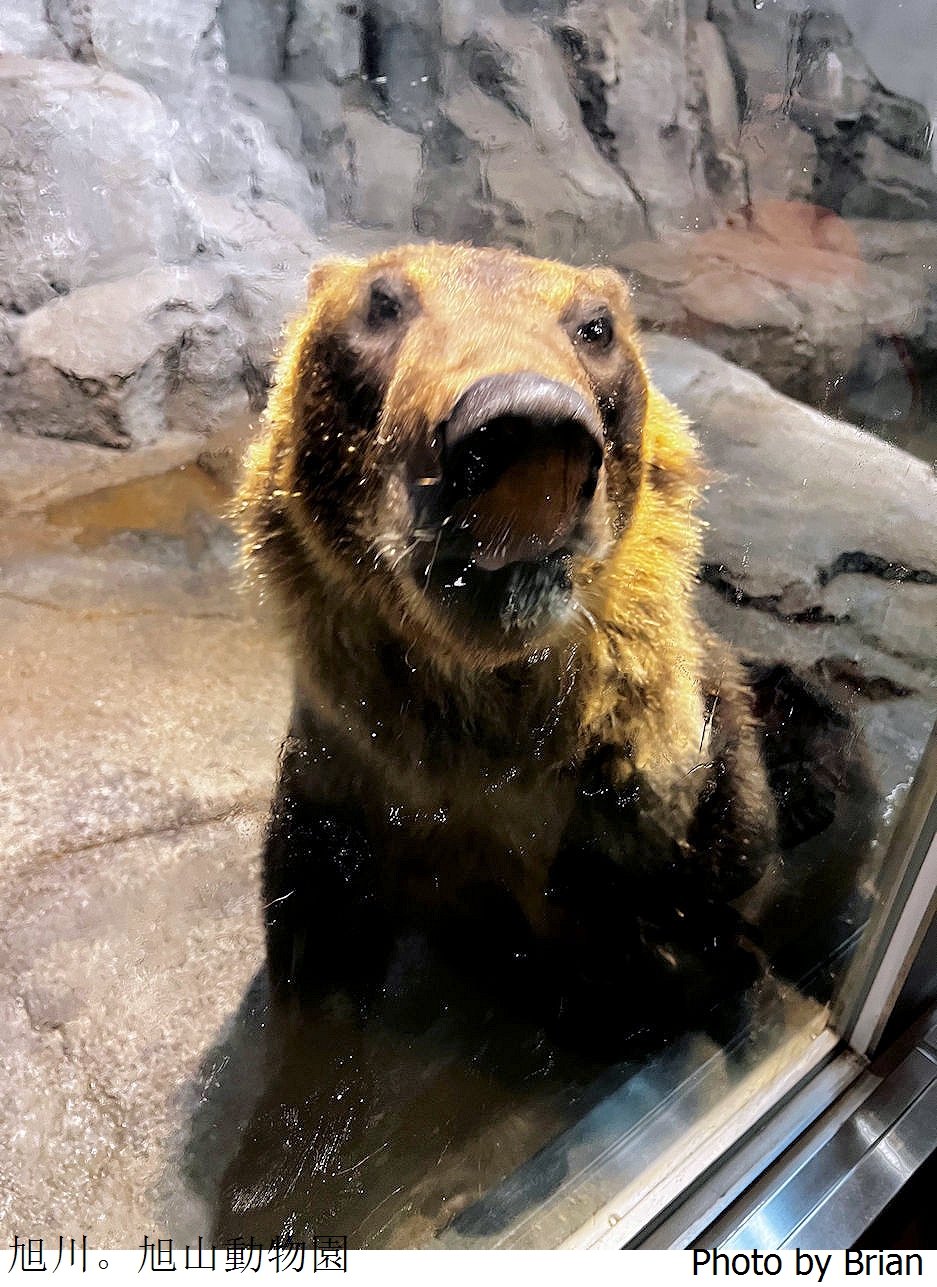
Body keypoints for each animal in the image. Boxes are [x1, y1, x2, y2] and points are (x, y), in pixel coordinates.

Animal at [235, 242, 779, 1051]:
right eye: (383, 304)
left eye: (594, 326)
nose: (524, 427)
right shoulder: (343, 779)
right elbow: (317, 937)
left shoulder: (659, 787)